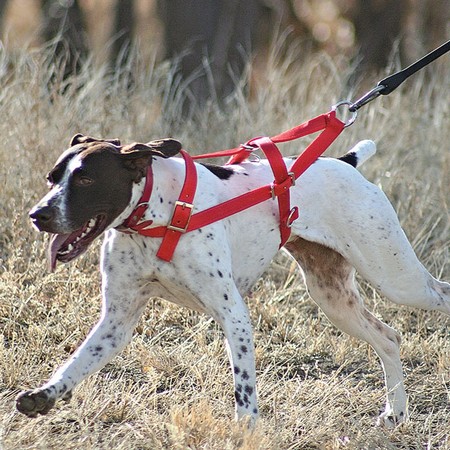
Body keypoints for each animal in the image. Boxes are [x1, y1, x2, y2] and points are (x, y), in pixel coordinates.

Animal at [15, 133, 448, 426]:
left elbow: (244, 389)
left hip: (394, 277)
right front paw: (46, 394)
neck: (156, 213)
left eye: (86, 181)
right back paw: (396, 413)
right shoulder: (116, 321)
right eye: (53, 178)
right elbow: (77, 362)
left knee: (438, 295)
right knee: (388, 338)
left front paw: (245, 430)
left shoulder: (233, 315)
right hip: (333, 298)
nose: (38, 215)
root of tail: (346, 161)